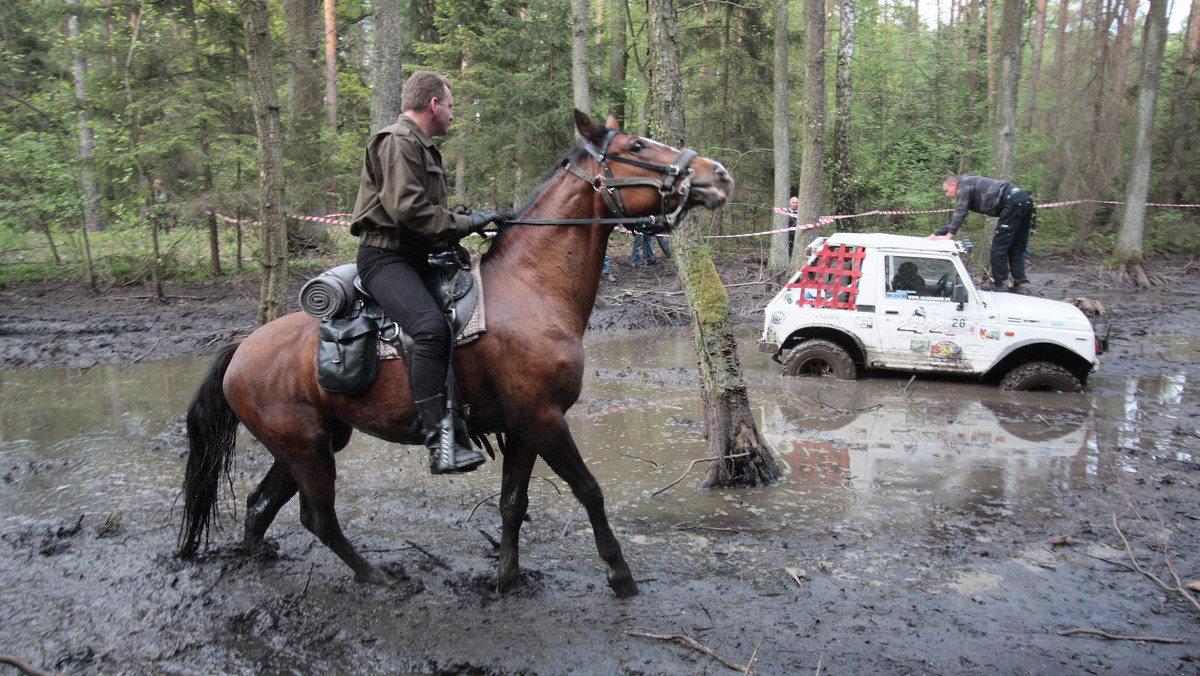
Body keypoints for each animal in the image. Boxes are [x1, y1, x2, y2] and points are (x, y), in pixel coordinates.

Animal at [180, 109, 729, 597]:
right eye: (636, 146)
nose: (718, 174)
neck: (532, 288)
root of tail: (243, 348)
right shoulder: (544, 419)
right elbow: (589, 491)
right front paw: (619, 574)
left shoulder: (522, 426)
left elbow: (513, 504)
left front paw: (507, 580)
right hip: (305, 448)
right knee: (318, 517)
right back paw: (375, 575)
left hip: (309, 443)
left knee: (261, 503)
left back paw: (257, 554)